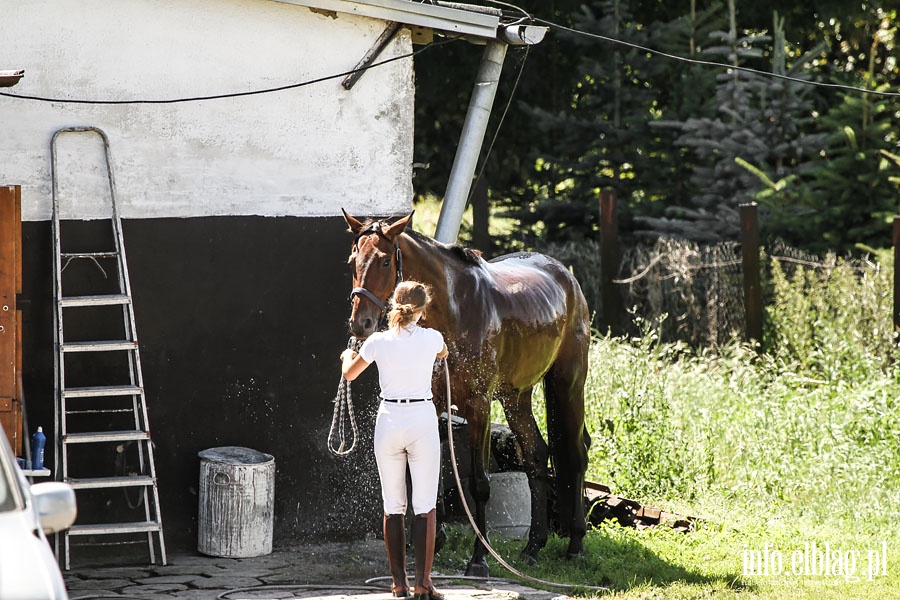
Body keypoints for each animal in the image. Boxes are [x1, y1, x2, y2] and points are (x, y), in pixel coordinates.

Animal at [340, 209, 592, 576]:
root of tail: (566, 277)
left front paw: (479, 558)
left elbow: (479, 484)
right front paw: (431, 541)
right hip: (516, 397)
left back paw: (575, 544)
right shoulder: (434, 403)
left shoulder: (479, 406)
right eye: (352, 261)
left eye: (386, 261)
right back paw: (533, 547)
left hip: (568, 382)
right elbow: (430, 471)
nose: (361, 324)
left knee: (575, 454)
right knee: (536, 455)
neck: (455, 310)